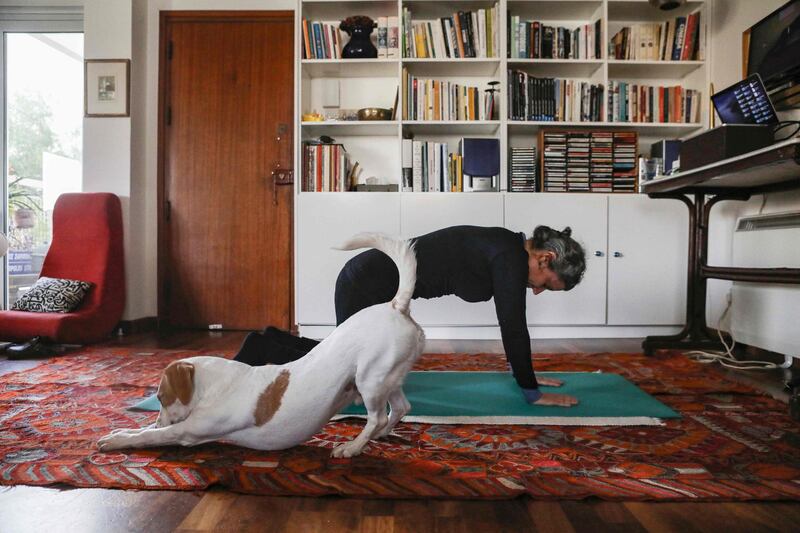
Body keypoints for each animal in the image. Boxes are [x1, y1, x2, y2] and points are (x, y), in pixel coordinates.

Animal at [97, 233, 424, 458]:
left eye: (162, 397)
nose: (157, 421)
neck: (213, 387)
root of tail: (396, 305)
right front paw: (131, 429)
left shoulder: (188, 431)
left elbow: (149, 437)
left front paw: (119, 438)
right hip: (388, 377)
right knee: (401, 407)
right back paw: (381, 434)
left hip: (371, 378)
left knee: (377, 416)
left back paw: (353, 447)